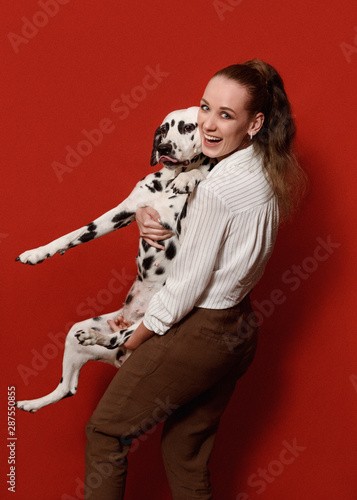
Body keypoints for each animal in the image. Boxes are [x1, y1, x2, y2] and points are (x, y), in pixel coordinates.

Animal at [16, 106, 217, 414]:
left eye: (187, 127)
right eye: (164, 128)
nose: (163, 148)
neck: (166, 182)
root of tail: (123, 356)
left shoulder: (185, 228)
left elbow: (202, 173)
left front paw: (190, 177)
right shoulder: (118, 214)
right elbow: (73, 234)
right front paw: (38, 252)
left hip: (147, 325)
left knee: (114, 340)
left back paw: (98, 337)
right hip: (75, 335)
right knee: (67, 388)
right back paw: (34, 403)